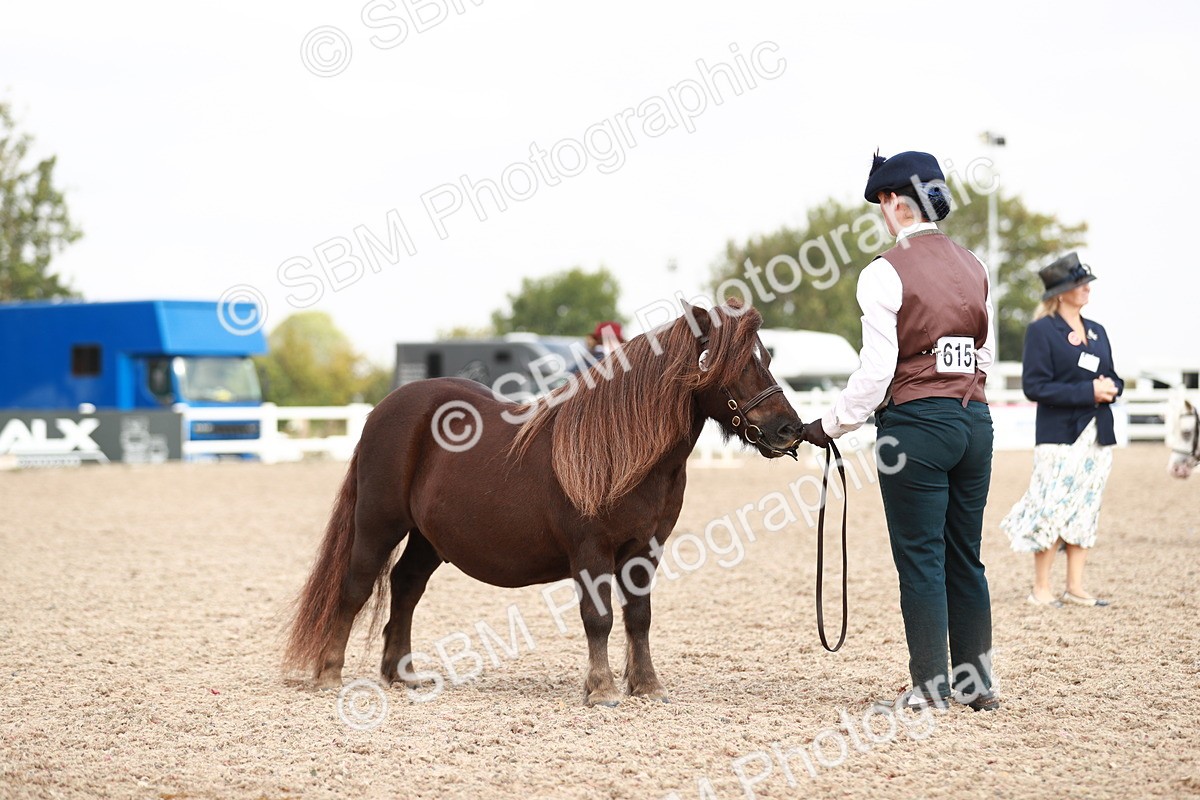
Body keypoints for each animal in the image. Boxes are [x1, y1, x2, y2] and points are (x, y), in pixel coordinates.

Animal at [284, 301, 804, 706]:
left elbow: (638, 617)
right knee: (356, 586)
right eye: (732, 362)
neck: (622, 449)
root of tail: (385, 408)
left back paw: (401, 673)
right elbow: (599, 617)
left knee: (405, 585)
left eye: (765, 356)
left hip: (430, 538)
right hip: (378, 523)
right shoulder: (591, 550)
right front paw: (602, 689)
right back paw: (330, 674)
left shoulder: (645, 549)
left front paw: (647, 685)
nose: (789, 429)